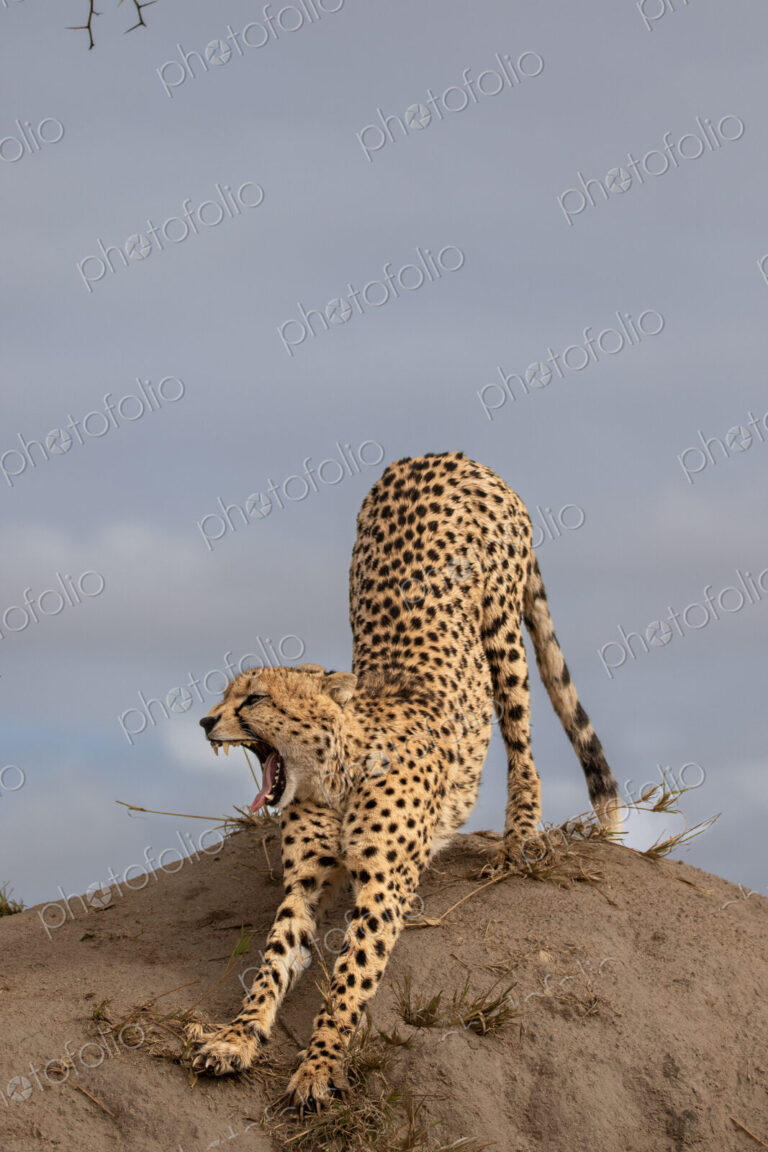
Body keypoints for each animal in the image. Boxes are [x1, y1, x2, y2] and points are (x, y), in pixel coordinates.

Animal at [188, 450, 621, 1109]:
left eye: (254, 698)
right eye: (225, 696)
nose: (207, 721)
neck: (335, 776)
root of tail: (443, 453)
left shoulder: (384, 887)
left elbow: (350, 977)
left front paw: (320, 1066)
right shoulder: (303, 884)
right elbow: (273, 961)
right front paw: (237, 1037)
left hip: (501, 628)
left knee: (521, 735)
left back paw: (520, 836)